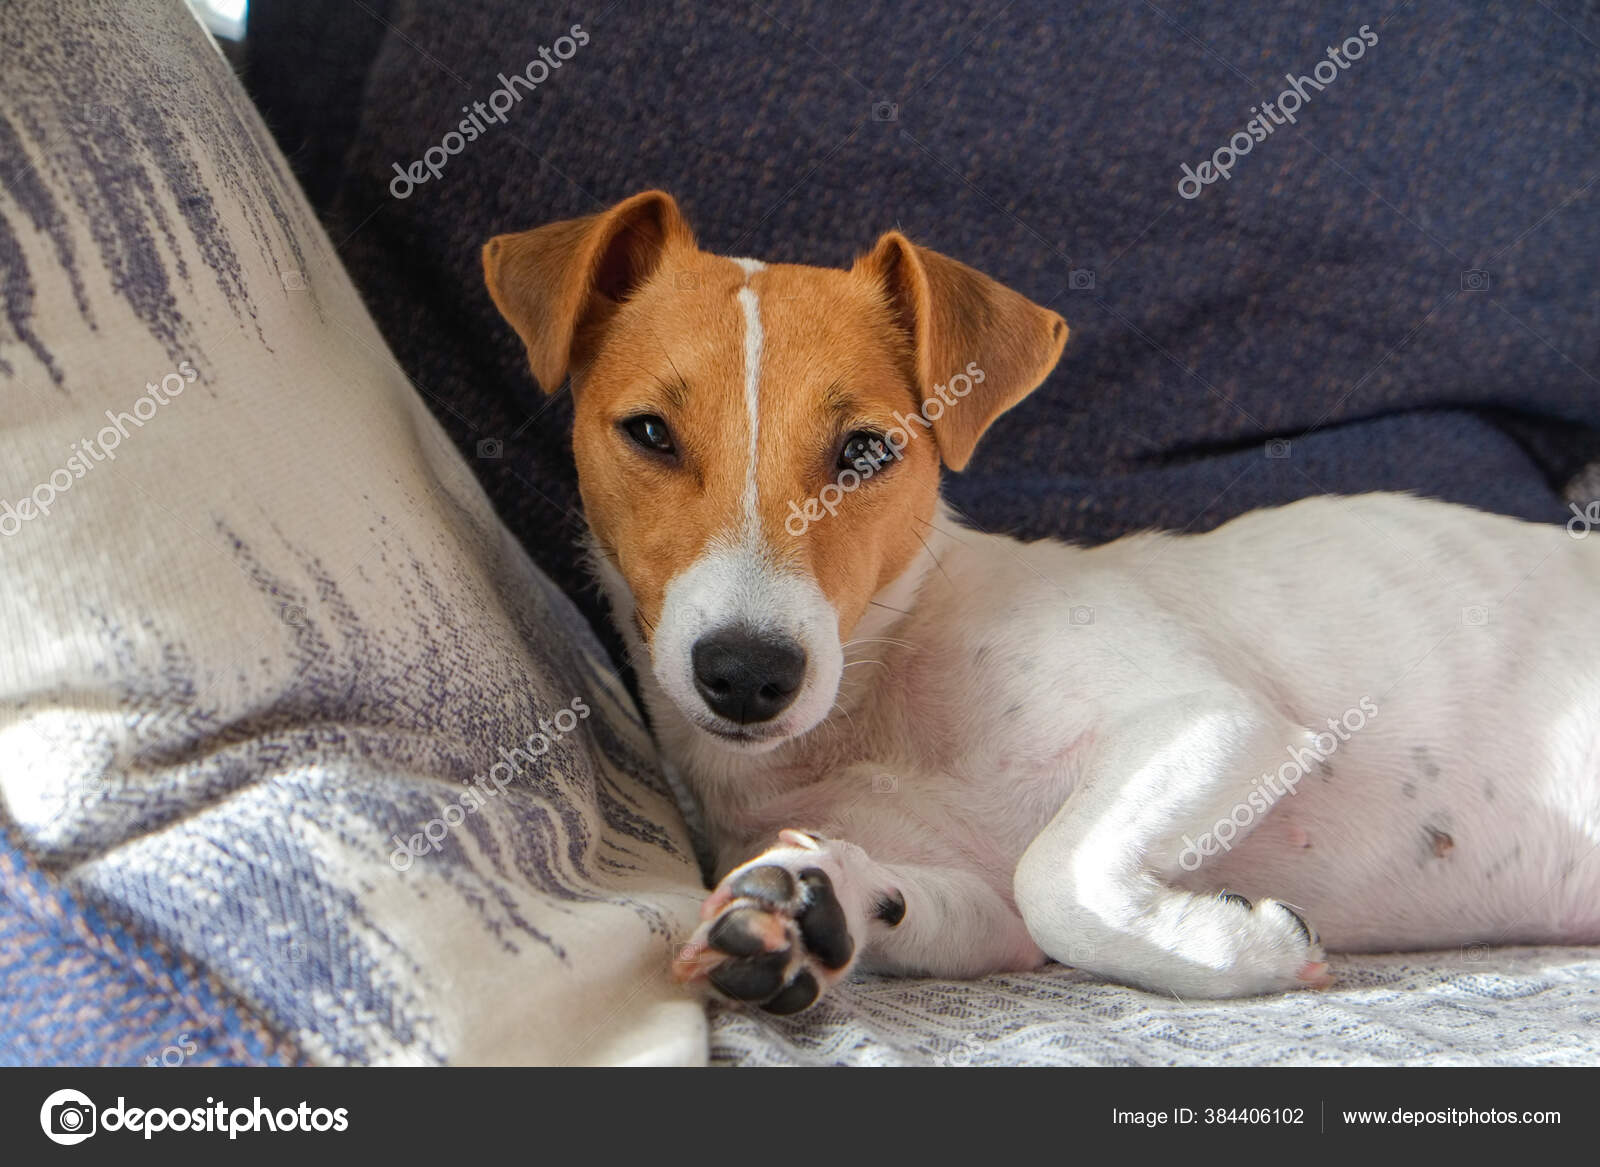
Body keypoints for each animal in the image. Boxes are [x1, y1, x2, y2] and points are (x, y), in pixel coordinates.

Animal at [483, 191, 1600, 1011]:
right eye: (650, 433)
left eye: (866, 451)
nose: (748, 675)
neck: (883, 688)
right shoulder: (980, 913)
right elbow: (961, 899)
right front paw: (811, 908)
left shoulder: (1213, 720)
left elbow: (1056, 875)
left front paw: (1239, 948)